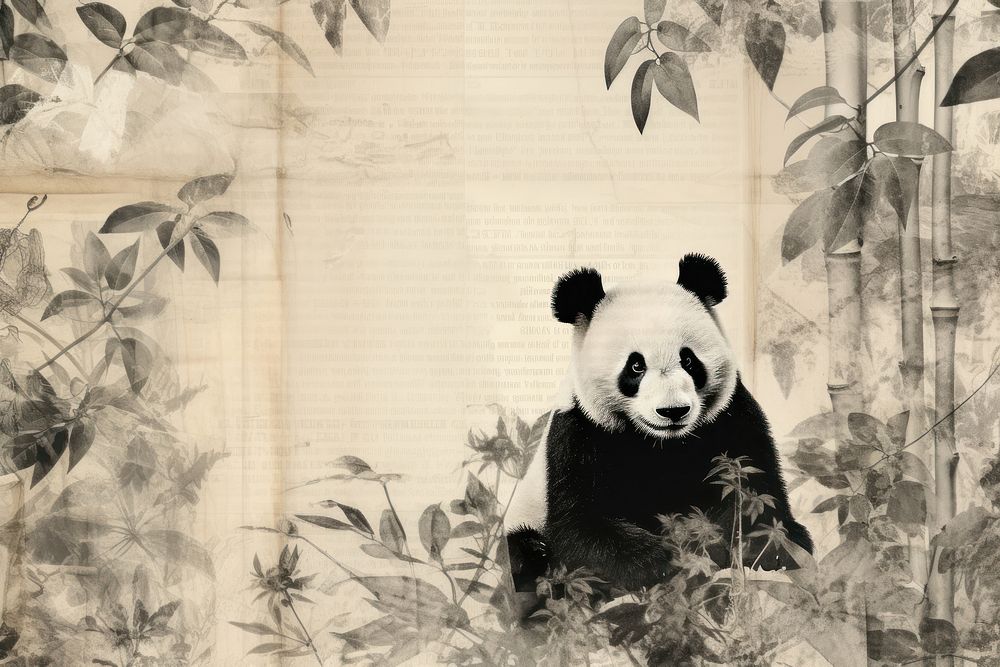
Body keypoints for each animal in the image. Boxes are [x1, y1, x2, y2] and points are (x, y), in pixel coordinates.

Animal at [504, 253, 812, 594]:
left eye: (688, 360)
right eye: (636, 366)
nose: (673, 411)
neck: (662, 443)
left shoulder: (732, 417)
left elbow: (753, 490)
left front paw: (767, 547)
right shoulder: (579, 433)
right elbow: (579, 524)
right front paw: (659, 562)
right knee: (524, 550)